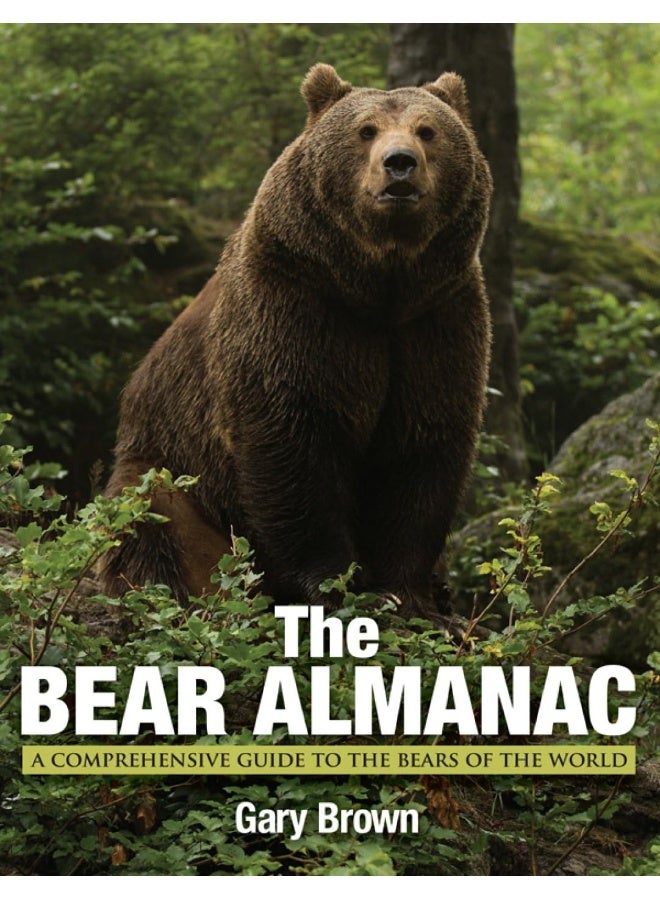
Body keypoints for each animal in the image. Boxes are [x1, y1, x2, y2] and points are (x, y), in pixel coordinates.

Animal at [99, 63, 493, 617]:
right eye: (365, 130)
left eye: (427, 130)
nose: (399, 164)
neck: (380, 285)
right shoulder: (295, 304)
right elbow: (292, 440)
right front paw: (334, 581)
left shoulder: (437, 316)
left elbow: (422, 444)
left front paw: (410, 593)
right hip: (173, 467)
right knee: (155, 520)